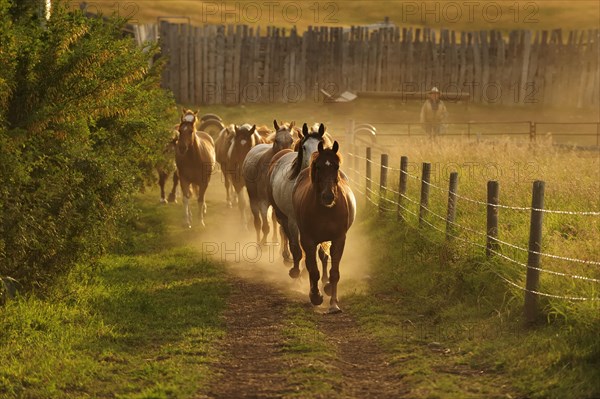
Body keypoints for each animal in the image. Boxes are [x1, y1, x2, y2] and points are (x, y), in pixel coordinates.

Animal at [292, 142, 354, 314]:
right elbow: (313, 270)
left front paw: (333, 304)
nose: (328, 196)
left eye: (336, 166)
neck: (326, 210)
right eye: (319, 167)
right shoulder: (308, 240)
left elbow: (334, 273)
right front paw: (315, 296)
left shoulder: (339, 239)